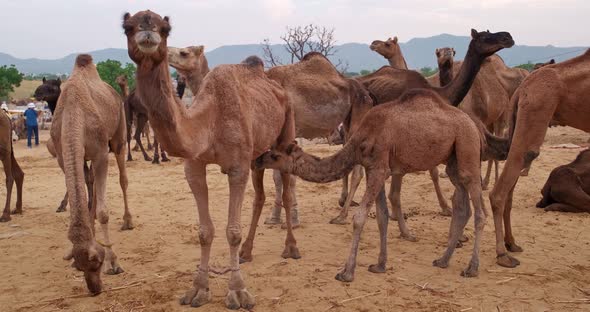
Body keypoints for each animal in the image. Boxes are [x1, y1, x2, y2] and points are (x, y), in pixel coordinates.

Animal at [50, 54, 132, 294]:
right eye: (79, 267)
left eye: (96, 263)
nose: (95, 289)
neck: (74, 112)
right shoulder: (63, 157)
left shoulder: (100, 153)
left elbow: (104, 212)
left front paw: (114, 263)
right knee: (91, 181)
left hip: (119, 136)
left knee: (123, 178)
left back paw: (128, 221)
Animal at [123, 10, 300, 310]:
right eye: (128, 27)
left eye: (165, 28)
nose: (148, 32)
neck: (210, 121)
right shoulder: (194, 166)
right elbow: (205, 232)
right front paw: (198, 289)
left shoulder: (237, 167)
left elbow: (232, 231)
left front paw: (238, 292)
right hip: (258, 155)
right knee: (259, 196)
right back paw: (247, 252)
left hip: (286, 133)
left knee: (286, 190)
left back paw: (291, 248)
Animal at [256, 87, 492, 280]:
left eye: (275, 156)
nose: (258, 159)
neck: (359, 142)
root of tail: (475, 126)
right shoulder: (374, 170)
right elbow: (382, 217)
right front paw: (379, 265)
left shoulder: (379, 169)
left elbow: (359, 217)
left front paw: (346, 272)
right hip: (454, 159)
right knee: (462, 207)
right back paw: (442, 260)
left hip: (467, 146)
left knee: (480, 211)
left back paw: (471, 268)